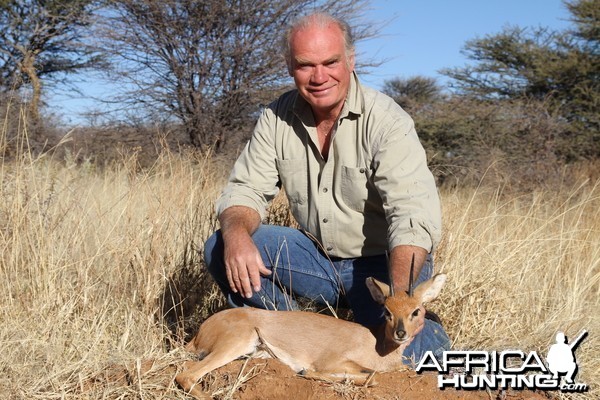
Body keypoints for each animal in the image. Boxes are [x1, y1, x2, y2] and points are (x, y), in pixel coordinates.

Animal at [173, 266, 446, 396]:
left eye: (416, 311)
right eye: (387, 311)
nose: (401, 333)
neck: (377, 346)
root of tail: (201, 331)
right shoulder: (330, 362)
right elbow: (370, 377)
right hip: (236, 342)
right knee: (186, 375)